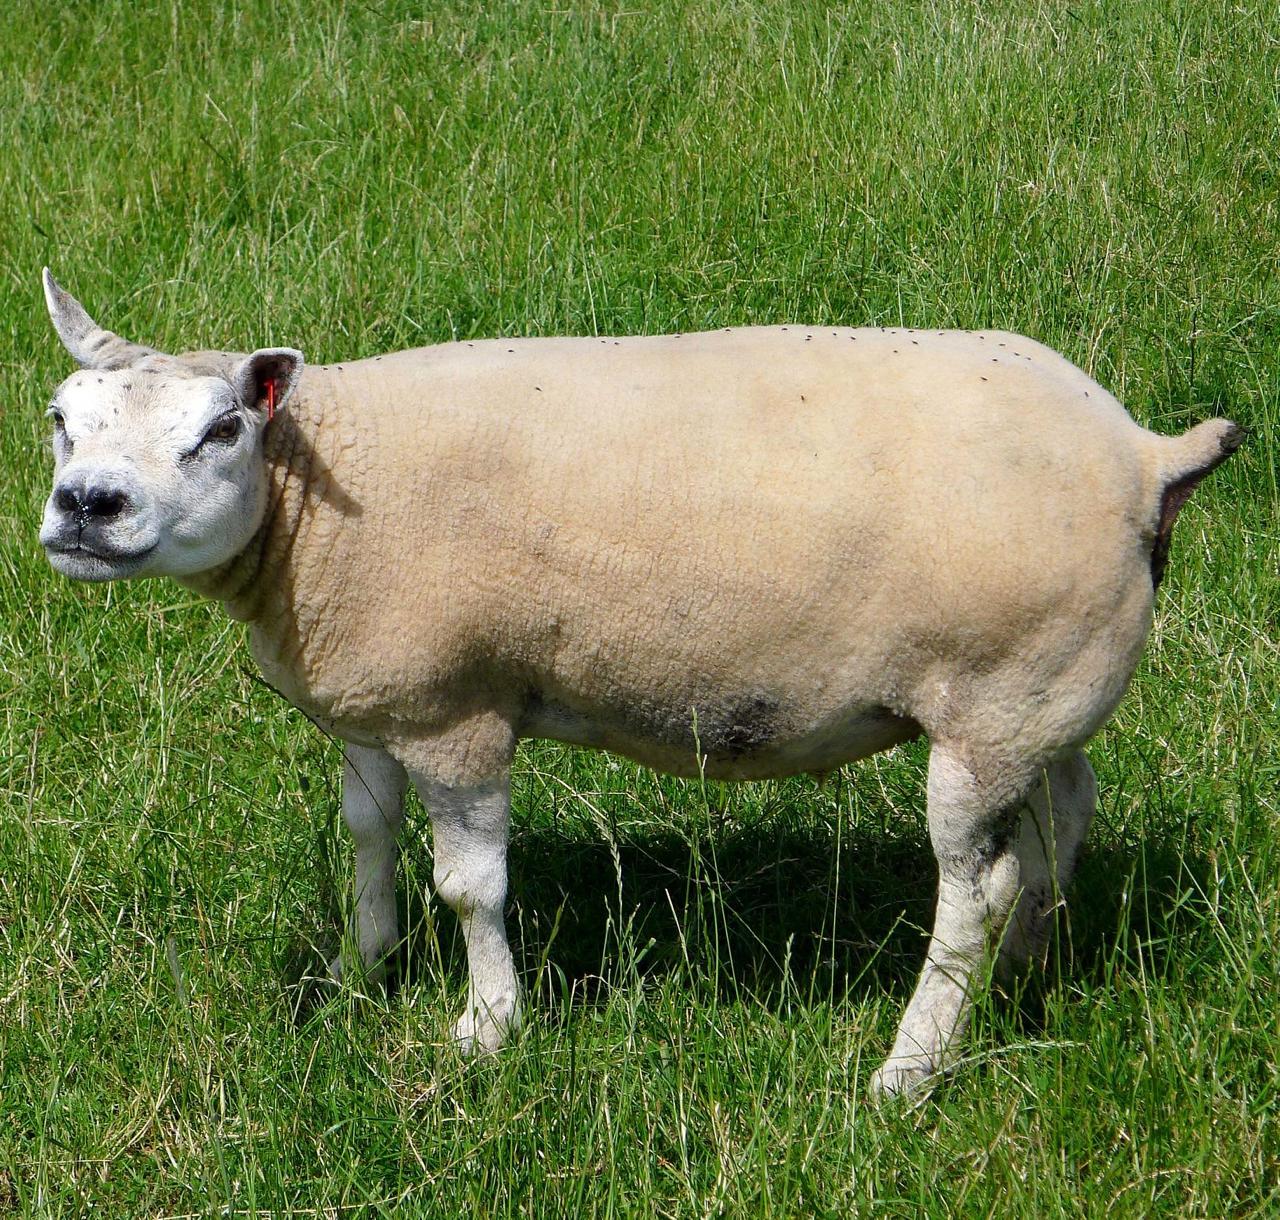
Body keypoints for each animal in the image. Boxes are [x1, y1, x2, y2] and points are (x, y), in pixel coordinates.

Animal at [36, 270, 1241, 1098]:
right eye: (59, 417)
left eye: (222, 429)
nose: (88, 506)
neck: (315, 498)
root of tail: (1144, 453)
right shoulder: (380, 696)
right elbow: (369, 833)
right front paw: (359, 972)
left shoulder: (458, 708)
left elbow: (469, 886)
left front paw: (485, 1030)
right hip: (1036, 694)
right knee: (1061, 812)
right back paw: (1029, 963)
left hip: (991, 699)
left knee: (974, 887)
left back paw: (908, 1066)